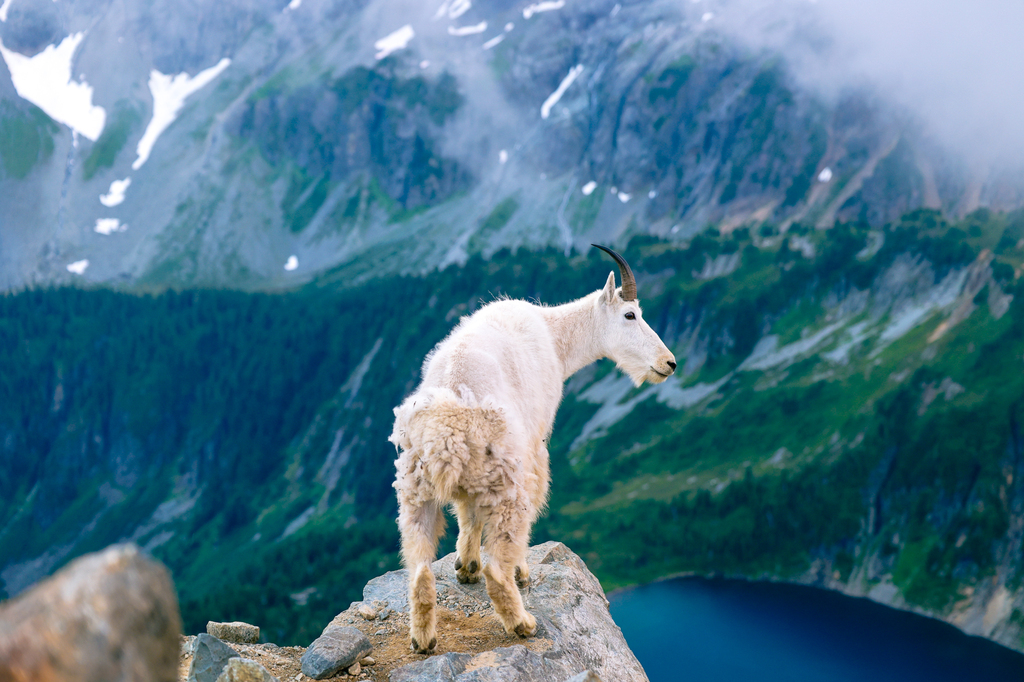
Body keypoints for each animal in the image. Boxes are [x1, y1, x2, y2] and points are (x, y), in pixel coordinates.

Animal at [389, 245, 676, 653]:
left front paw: (465, 564)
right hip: (505, 480)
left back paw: (423, 638)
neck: (555, 335)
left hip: (416, 487)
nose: (669, 363)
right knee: (499, 561)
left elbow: (468, 513)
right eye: (630, 314)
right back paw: (522, 621)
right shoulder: (534, 446)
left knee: (418, 566)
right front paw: (517, 570)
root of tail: (448, 426)